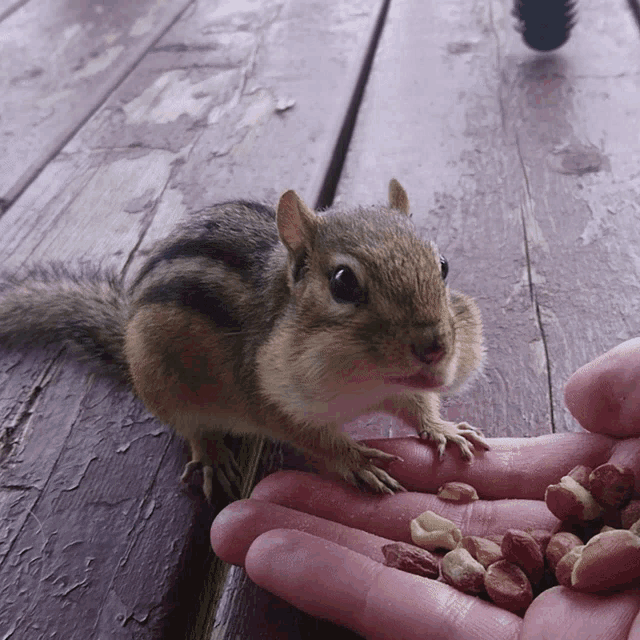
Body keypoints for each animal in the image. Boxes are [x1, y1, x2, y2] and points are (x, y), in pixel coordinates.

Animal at [0, 179, 487, 501]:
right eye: (343, 283)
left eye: (443, 264)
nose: (435, 347)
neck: (364, 383)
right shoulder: (270, 396)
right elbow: (314, 438)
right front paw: (356, 461)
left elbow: (417, 403)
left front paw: (443, 429)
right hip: (162, 379)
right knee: (193, 427)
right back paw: (212, 454)